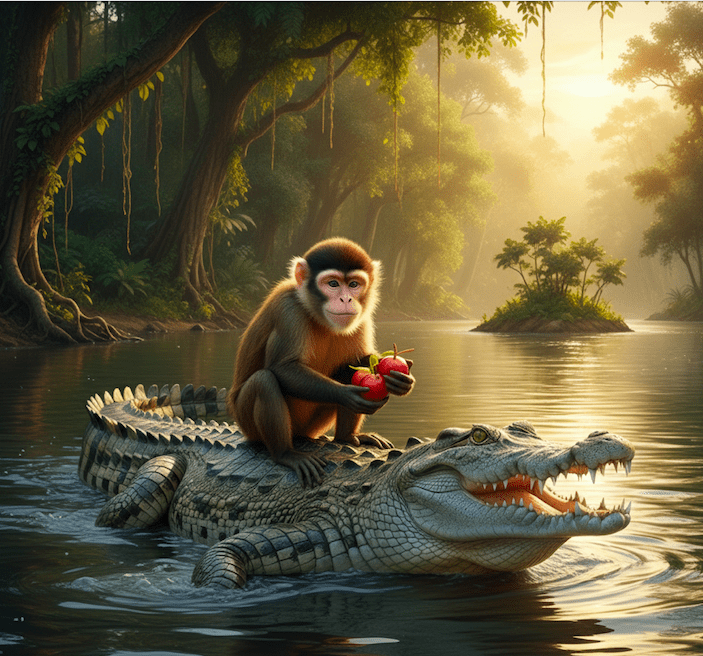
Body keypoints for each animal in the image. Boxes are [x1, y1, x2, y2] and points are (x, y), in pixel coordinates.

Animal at [227, 237, 415, 486]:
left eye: (354, 284)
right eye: (333, 284)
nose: (346, 299)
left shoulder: (361, 316)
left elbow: (354, 363)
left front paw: (401, 379)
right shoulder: (288, 310)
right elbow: (282, 368)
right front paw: (348, 395)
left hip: (313, 425)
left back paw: (347, 437)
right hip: (248, 423)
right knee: (263, 381)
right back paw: (285, 453)